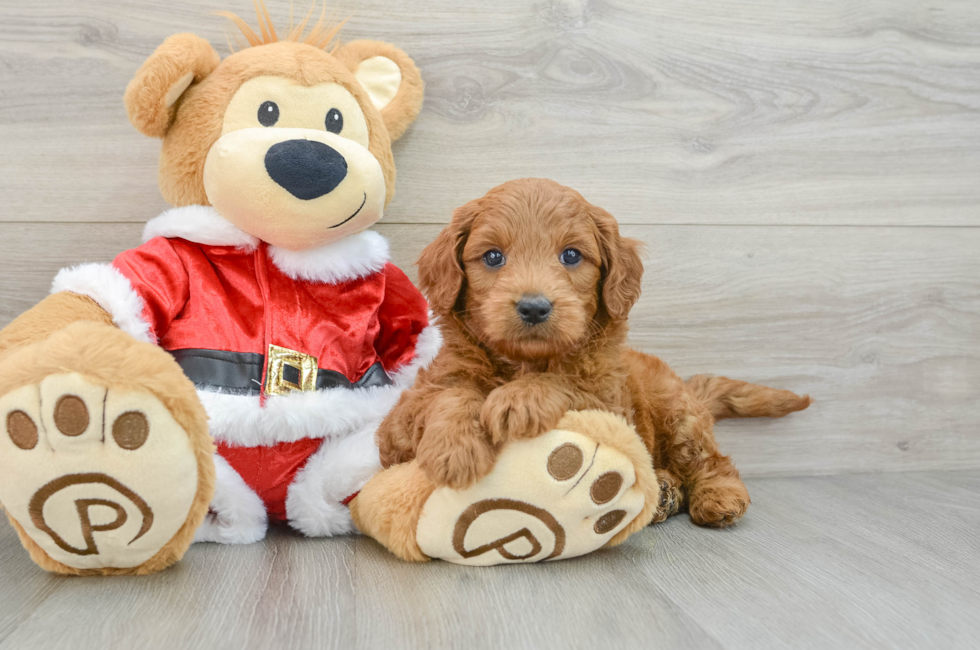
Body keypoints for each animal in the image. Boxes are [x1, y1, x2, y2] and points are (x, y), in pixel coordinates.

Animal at [378, 178, 808, 528]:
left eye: (571, 255)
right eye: (493, 257)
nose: (534, 307)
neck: (524, 362)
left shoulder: (609, 402)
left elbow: (565, 382)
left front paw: (518, 400)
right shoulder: (400, 421)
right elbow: (451, 394)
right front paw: (454, 449)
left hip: (679, 415)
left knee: (711, 460)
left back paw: (719, 496)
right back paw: (665, 492)